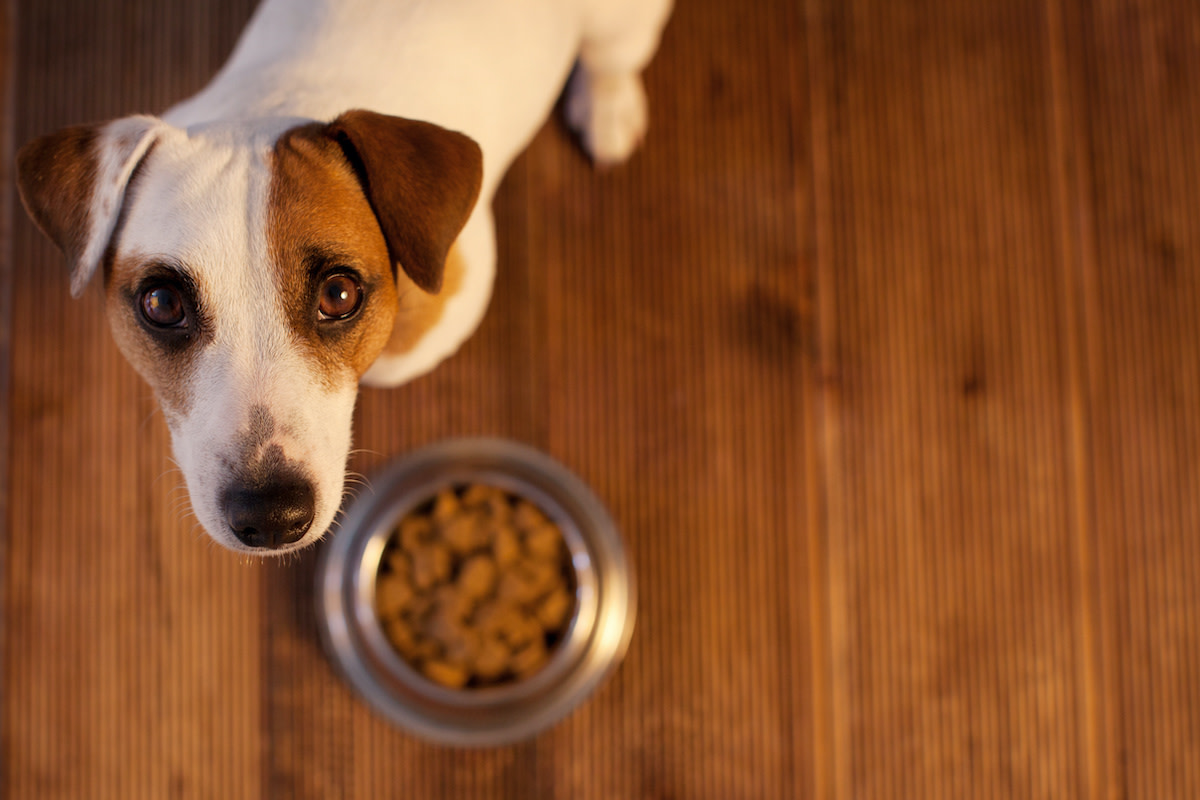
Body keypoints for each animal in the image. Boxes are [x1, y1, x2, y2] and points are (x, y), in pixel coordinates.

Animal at [18, 0, 672, 551]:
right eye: (161, 304)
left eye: (339, 294)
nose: (271, 517)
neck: (267, 106)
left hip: (619, 23)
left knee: (612, 58)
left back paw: (609, 107)